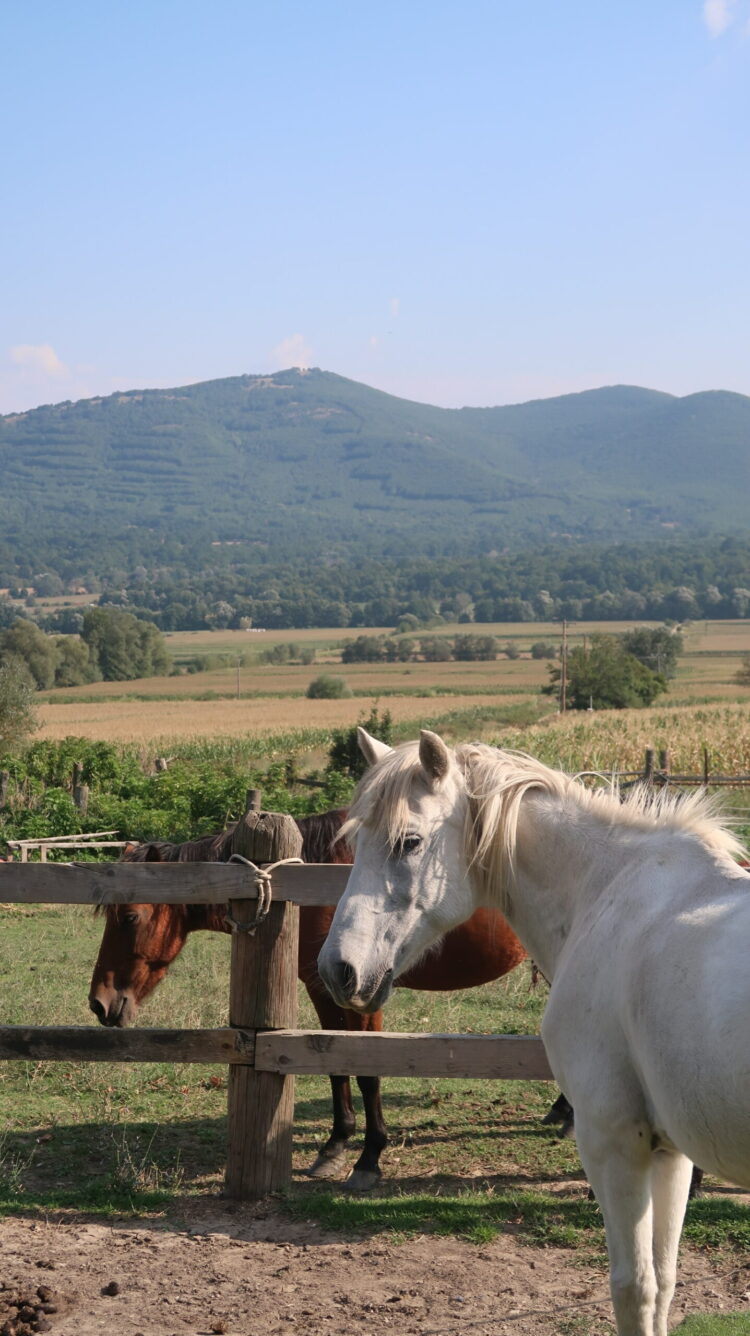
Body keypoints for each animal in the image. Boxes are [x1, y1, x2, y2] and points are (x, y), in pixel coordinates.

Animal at [88, 812, 526, 1191]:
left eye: (130, 917)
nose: (99, 1002)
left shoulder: (362, 995)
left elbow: (367, 1072)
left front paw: (369, 1160)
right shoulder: (323, 989)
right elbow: (335, 1065)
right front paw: (334, 1148)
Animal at [316, 732, 748, 1336]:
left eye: (409, 842)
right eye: (356, 842)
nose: (338, 970)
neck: (608, 891)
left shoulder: (615, 1141)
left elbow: (634, 1289)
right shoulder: (670, 1153)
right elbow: (663, 1283)